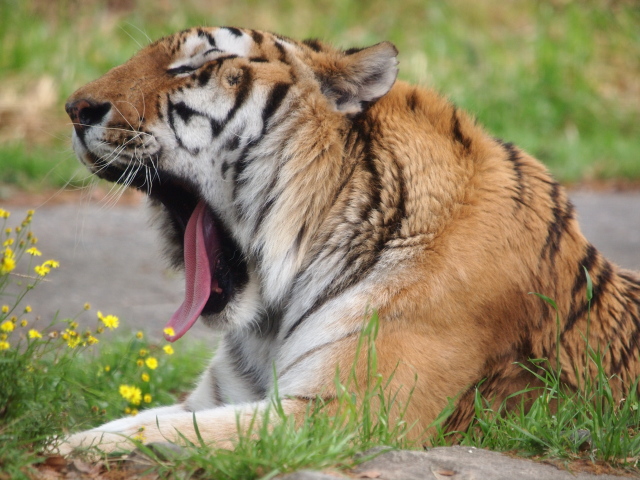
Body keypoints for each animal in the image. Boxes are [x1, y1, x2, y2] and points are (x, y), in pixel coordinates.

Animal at [60, 26, 640, 454]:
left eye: (193, 66)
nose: (74, 108)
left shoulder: (346, 412)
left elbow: (167, 433)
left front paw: (62, 449)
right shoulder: (215, 396)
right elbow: (136, 421)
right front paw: (66, 438)